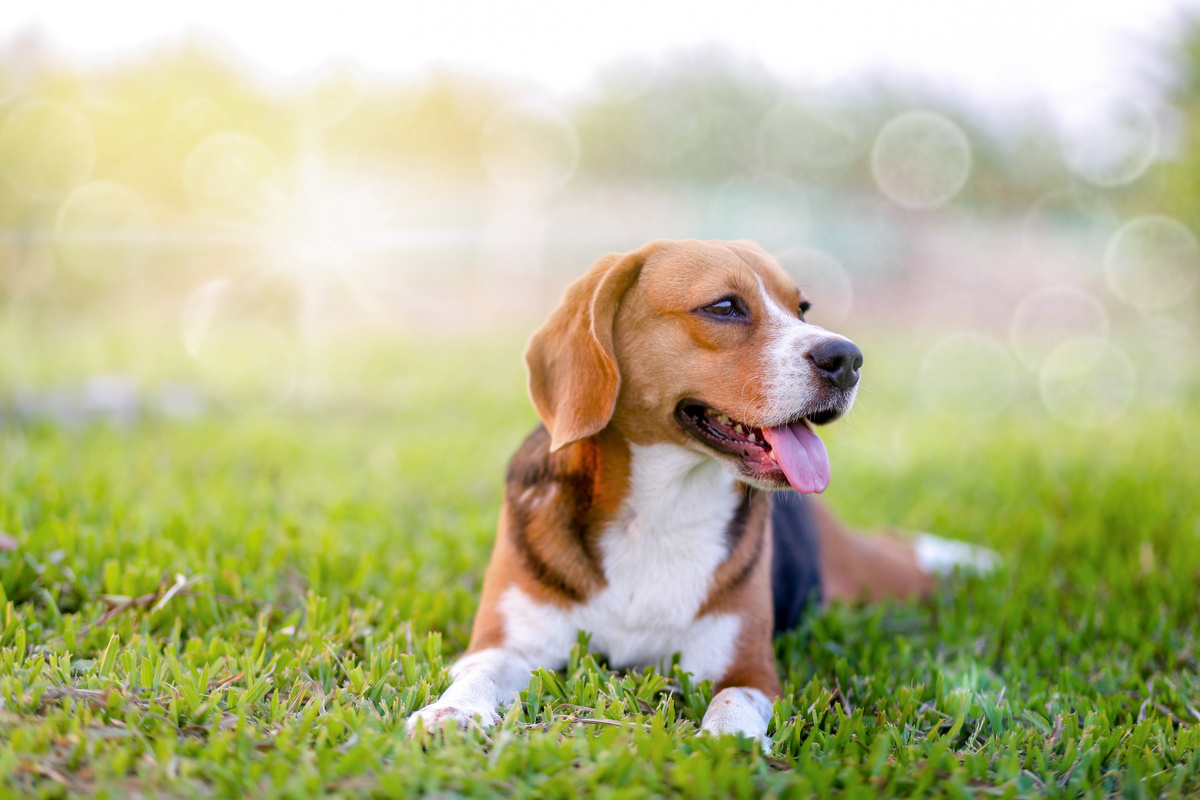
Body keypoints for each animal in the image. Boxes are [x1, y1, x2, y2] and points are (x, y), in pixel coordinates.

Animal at [408, 239, 988, 743]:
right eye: (725, 306)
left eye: (801, 309)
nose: (847, 358)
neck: (658, 512)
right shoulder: (506, 645)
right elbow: (478, 674)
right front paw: (452, 713)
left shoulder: (746, 670)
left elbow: (731, 700)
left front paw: (728, 743)